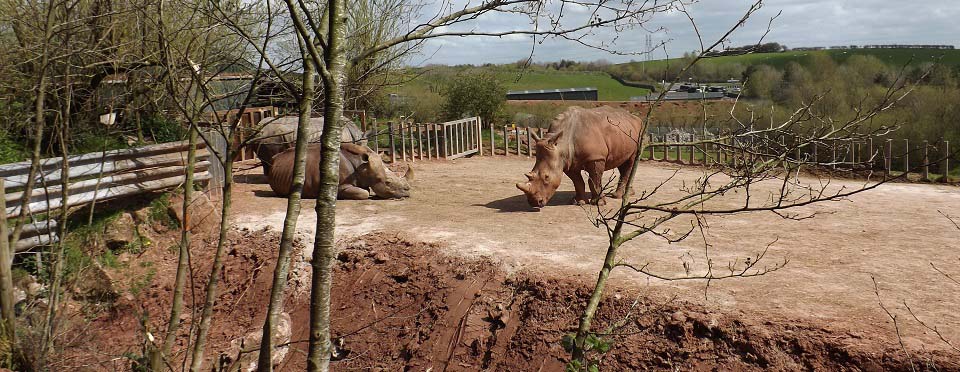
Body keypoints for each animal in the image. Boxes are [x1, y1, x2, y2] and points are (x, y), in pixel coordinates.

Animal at [266, 142, 412, 201]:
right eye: (388, 182)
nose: (407, 192)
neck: (363, 166)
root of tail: (274, 159)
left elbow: (366, 189)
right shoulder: (340, 186)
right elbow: (364, 193)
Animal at [516, 106, 644, 208]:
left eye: (546, 177)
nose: (533, 203)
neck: (561, 144)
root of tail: (635, 118)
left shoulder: (596, 158)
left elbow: (594, 180)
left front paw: (599, 203)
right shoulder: (568, 161)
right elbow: (577, 182)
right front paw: (579, 202)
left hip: (639, 133)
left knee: (630, 161)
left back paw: (618, 196)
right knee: (623, 163)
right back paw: (629, 193)